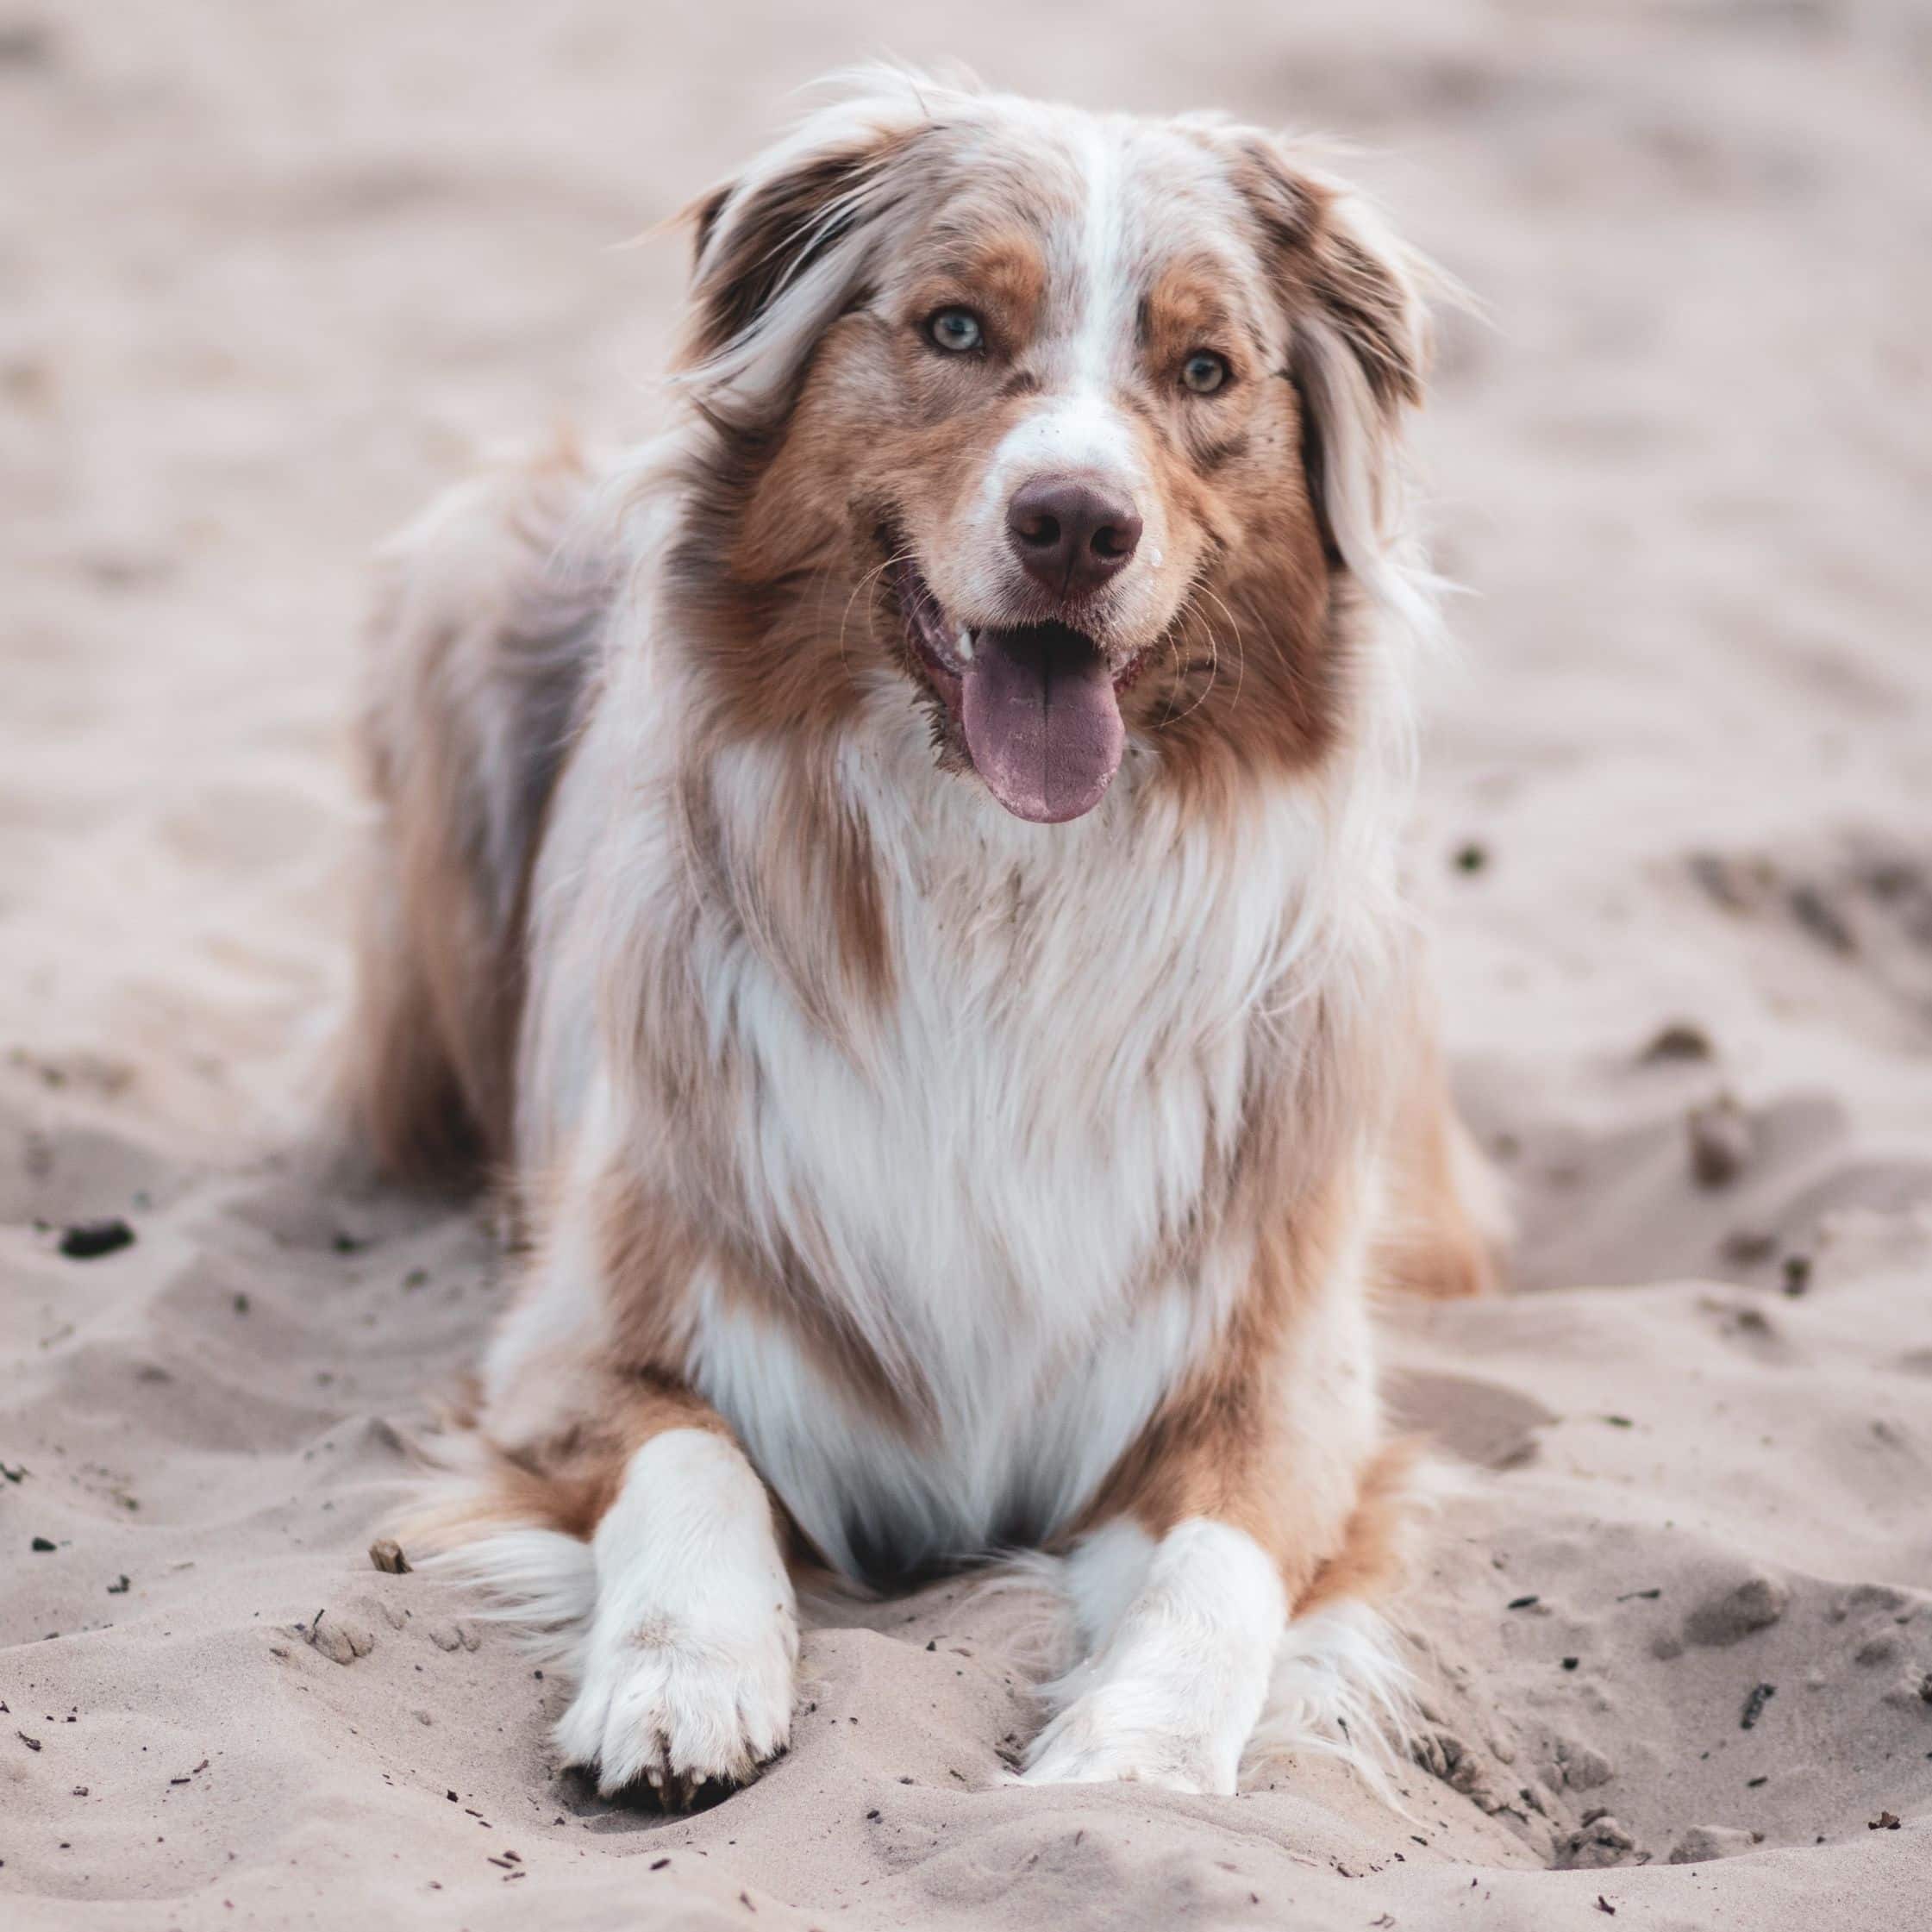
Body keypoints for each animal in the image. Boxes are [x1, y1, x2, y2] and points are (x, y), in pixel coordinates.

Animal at [340, 67, 1499, 1800]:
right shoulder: (578, 1341)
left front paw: (1137, 1751)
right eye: (954, 328)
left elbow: (1219, 1561)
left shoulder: (1288, 1383)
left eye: (1205, 370)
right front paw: (683, 1677)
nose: (1077, 524)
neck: (1005, 894)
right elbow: (695, 1462)